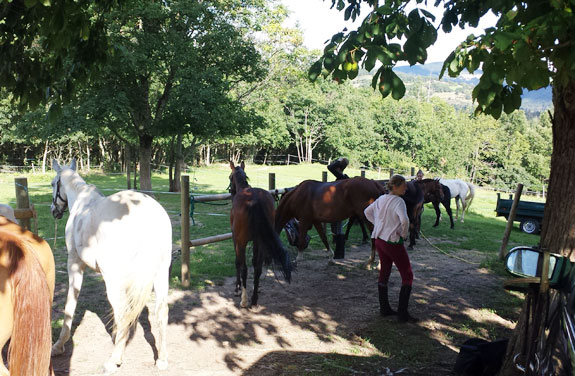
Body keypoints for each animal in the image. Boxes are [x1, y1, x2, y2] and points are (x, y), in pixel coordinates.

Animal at [50, 159, 172, 374]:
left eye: (52, 184)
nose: (54, 211)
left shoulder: (74, 264)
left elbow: (70, 303)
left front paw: (59, 345)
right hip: (160, 275)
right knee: (161, 311)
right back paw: (162, 359)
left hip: (113, 279)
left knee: (122, 312)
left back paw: (113, 360)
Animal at [230, 162, 292, 308]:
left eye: (230, 177)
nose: (230, 191)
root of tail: (254, 200)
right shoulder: (256, 241)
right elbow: (255, 264)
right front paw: (256, 288)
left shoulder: (236, 239)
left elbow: (238, 263)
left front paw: (237, 288)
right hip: (262, 241)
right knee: (258, 268)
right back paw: (254, 299)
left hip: (242, 242)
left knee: (245, 268)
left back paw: (244, 300)